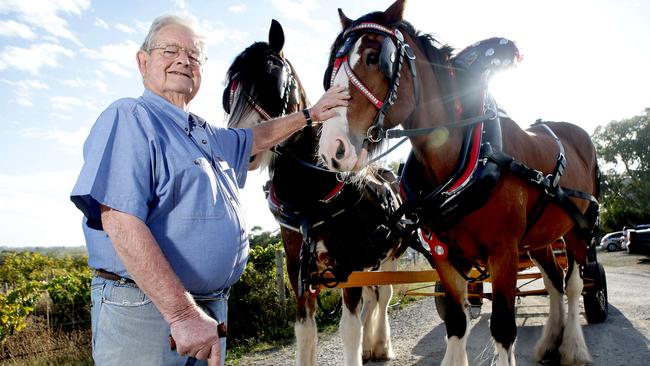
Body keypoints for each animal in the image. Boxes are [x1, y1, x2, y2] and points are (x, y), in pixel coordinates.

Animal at [224, 20, 404, 366]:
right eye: (230, 92)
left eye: (274, 83)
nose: (245, 145)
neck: (310, 193)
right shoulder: (297, 266)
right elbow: (305, 332)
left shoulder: (346, 264)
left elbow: (349, 329)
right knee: (374, 297)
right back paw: (371, 346)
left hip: (389, 254)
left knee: (384, 295)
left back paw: (381, 344)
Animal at [316, 1, 600, 364]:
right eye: (331, 70)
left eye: (374, 57)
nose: (332, 148)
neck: (467, 156)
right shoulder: (444, 255)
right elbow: (456, 321)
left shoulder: (504, 251)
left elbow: (503, 328)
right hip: (539, 239)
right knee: (554, 283)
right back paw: (551, 340)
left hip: (578, 228)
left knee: (575, 284)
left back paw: (573, 347)